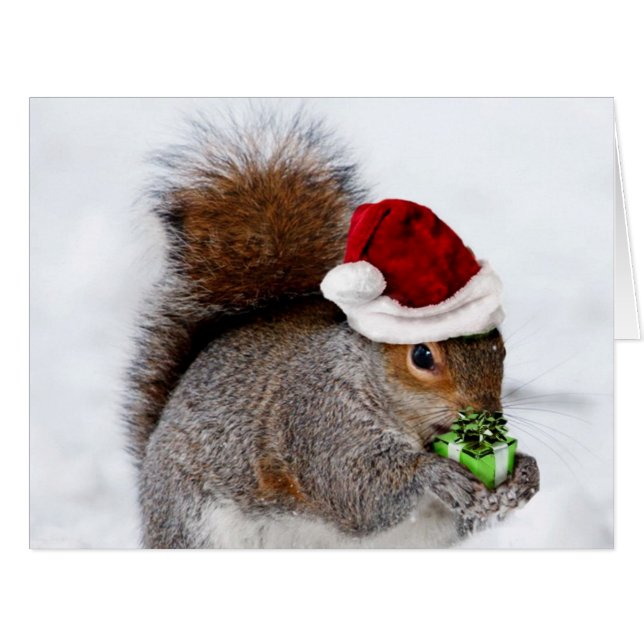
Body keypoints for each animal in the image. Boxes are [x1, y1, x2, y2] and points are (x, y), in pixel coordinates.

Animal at [126, 110, 540, 548]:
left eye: (500, 346)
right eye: (422, 355)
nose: (485, 414)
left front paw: (524, 474)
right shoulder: (319, 423)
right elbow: (355, 488)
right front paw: (436, 473)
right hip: (196, 530)